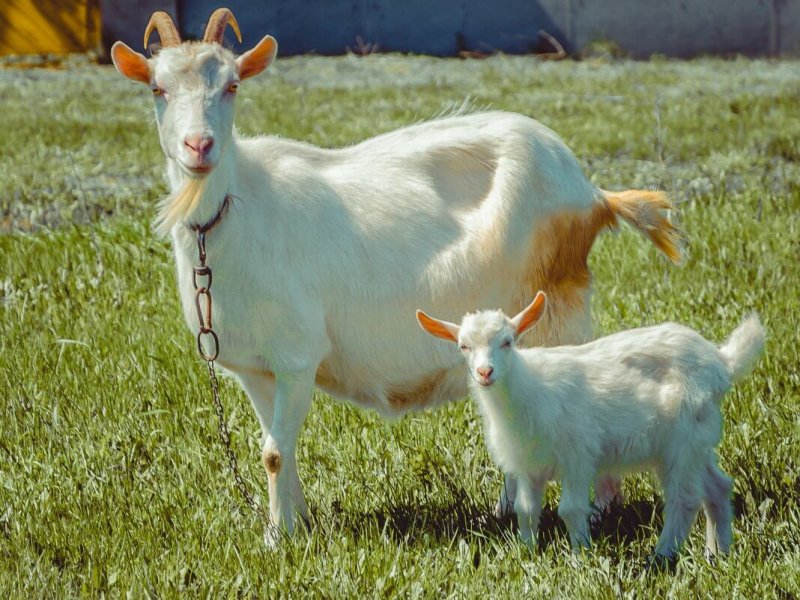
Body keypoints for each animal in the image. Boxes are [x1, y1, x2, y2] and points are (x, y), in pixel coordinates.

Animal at [111, 8, 683, 540]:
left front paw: (278, 538)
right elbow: (278, 447)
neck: (235, 209)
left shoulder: (297, 356)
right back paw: (508, 507)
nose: (199, 147)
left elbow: (273, 451)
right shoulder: (256, 366)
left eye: (231, 85)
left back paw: (597, 507)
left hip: (557, 310)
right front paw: (292, 526)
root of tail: (592, 194)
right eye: (158, 88)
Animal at [417, 292, 765, 563]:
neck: (528, 388)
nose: (485, 372)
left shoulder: (577, 456)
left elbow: (571, 509)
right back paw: (718, 553)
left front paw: (579, 556)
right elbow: (525, 509)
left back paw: (662, 555)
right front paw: (527, 552)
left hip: (682, 439)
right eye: (463, 346)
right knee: (718, 486)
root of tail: (720, 362)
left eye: (507, 342)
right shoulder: (529, 464)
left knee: (685, 499)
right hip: (697, 440)